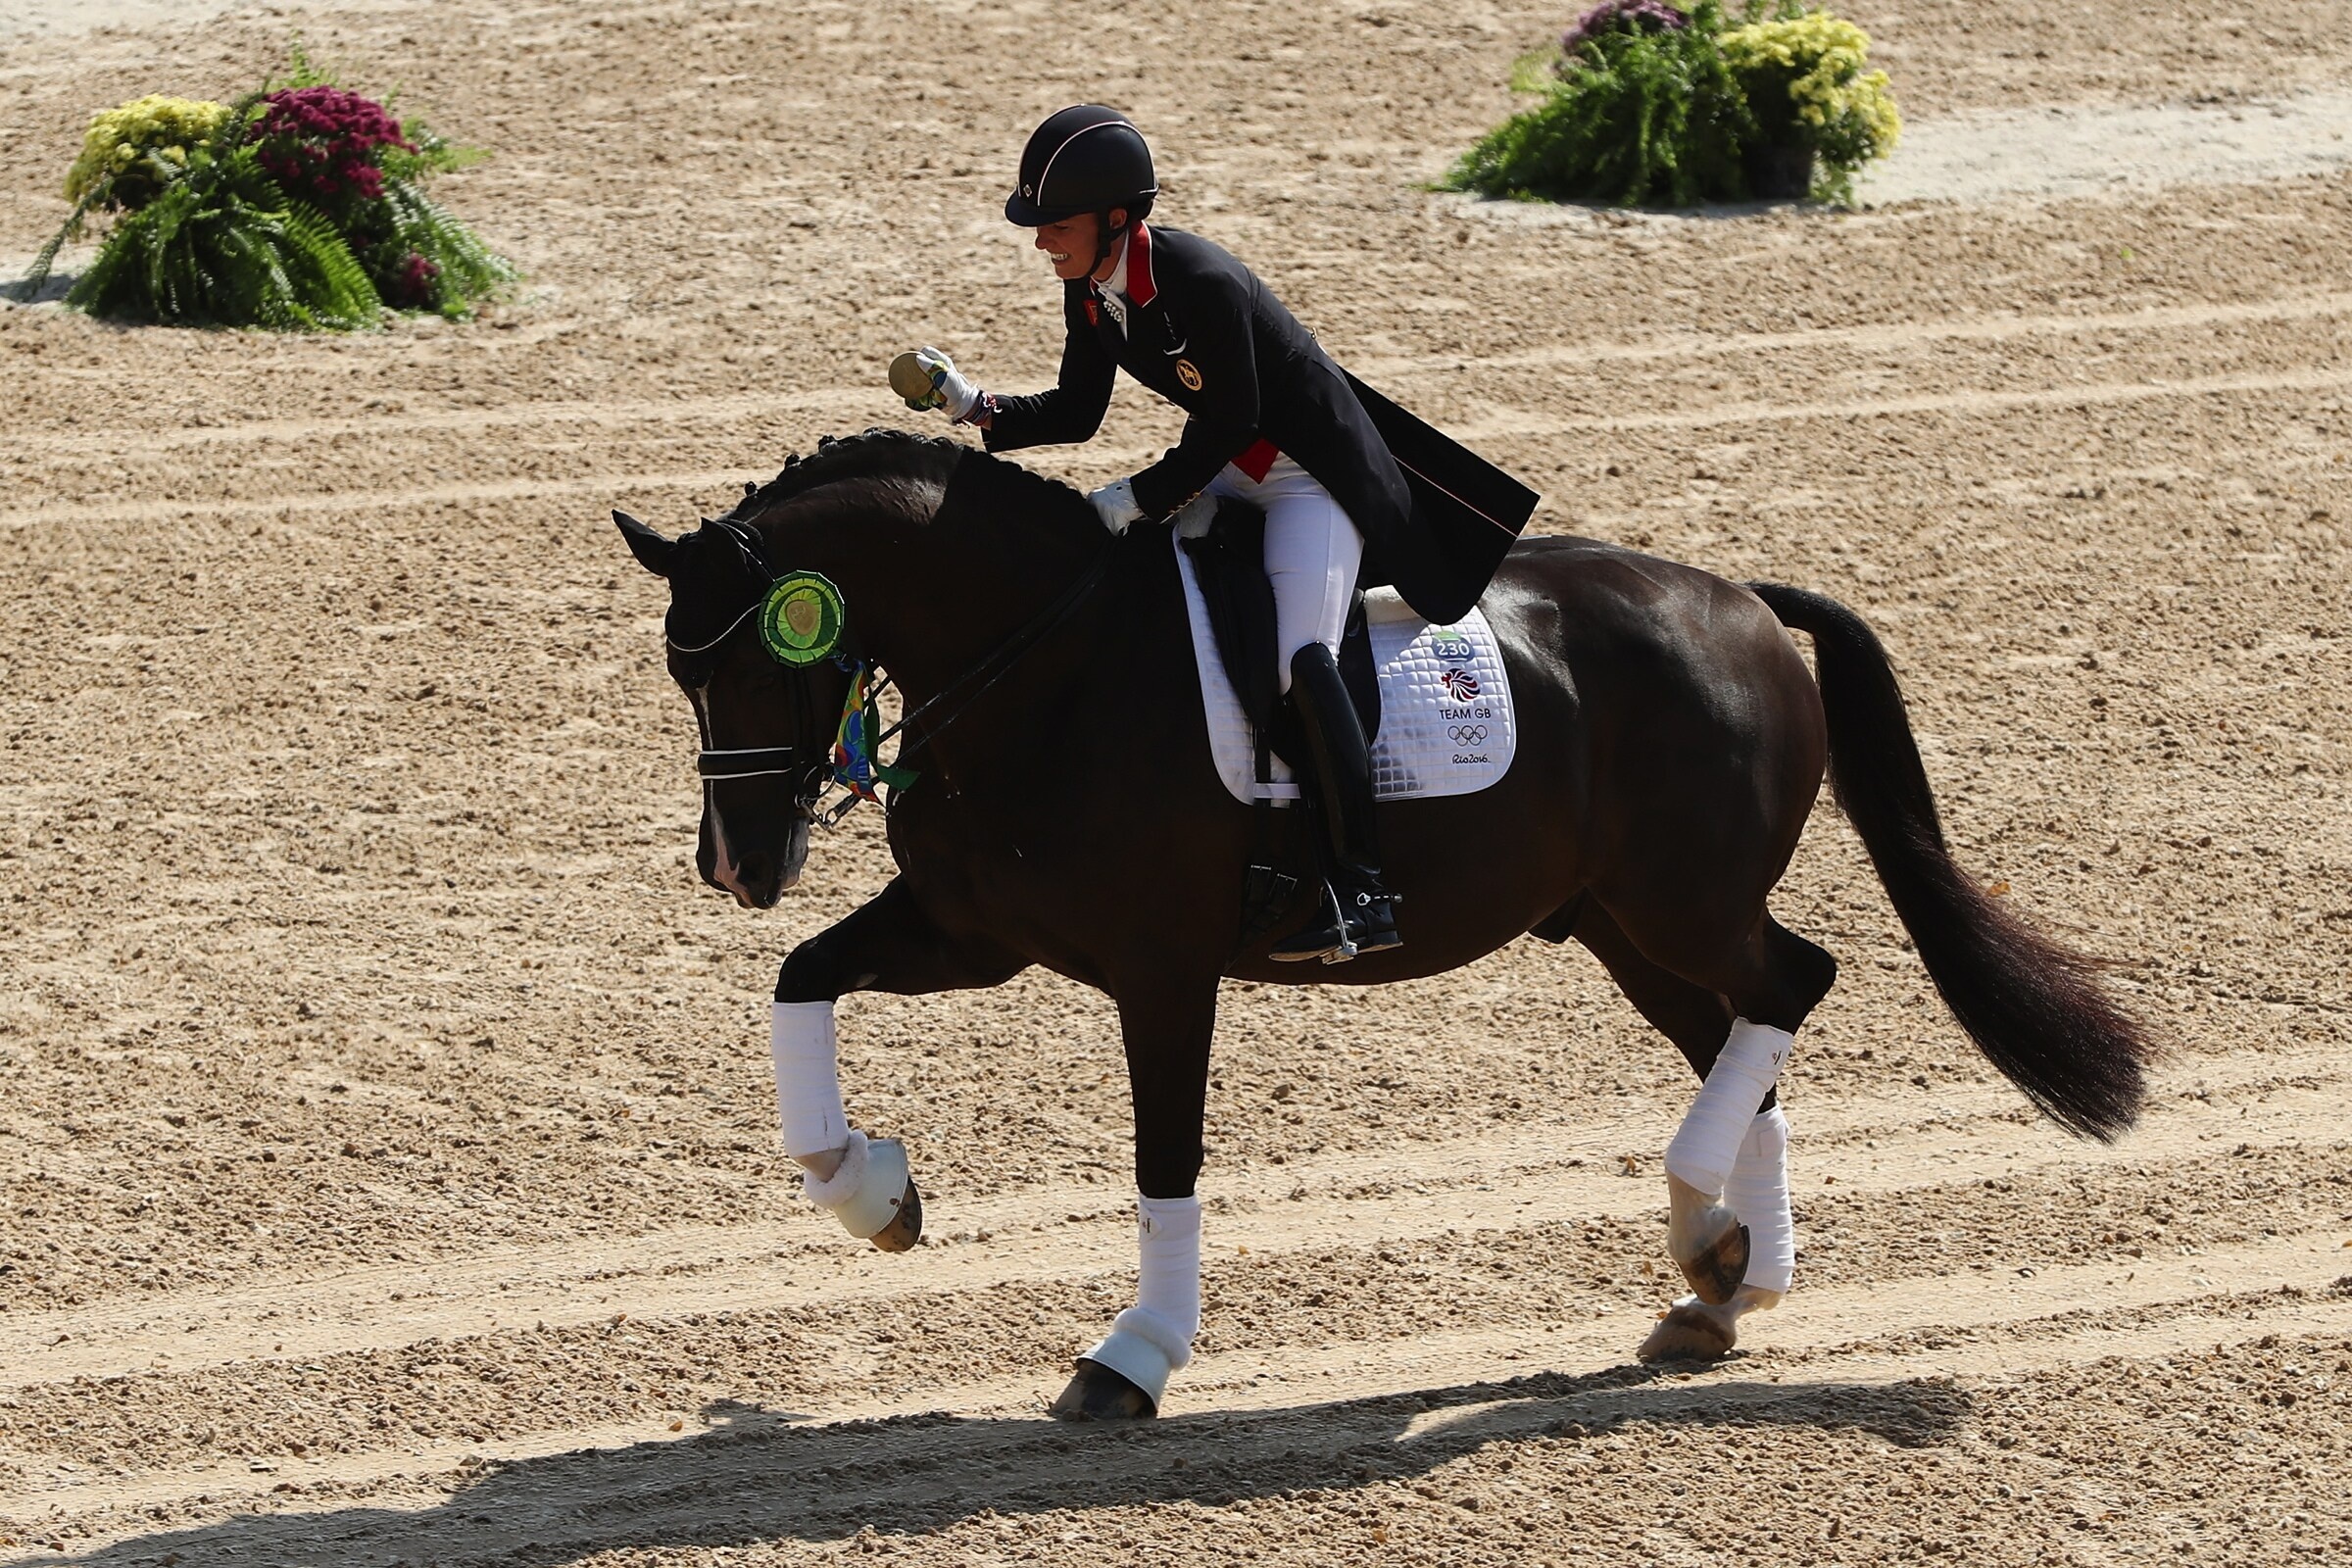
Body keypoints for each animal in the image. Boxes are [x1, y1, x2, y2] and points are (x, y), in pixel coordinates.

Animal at [615, 429, 2154, 1419]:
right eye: (683, 676)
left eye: (755, 657)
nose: (734, 865)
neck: (1043, 661)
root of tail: (1742, 603)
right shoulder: (969, 932)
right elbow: (801, 984)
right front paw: (874, 1194)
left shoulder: (1163, 971)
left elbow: (1165, 1162)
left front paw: (1133, 1357)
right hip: (1619, 923)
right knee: (1742, 1038)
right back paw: (1725, 1278)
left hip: (1685, 902)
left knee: (1797, 979)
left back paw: (1707, 1233)